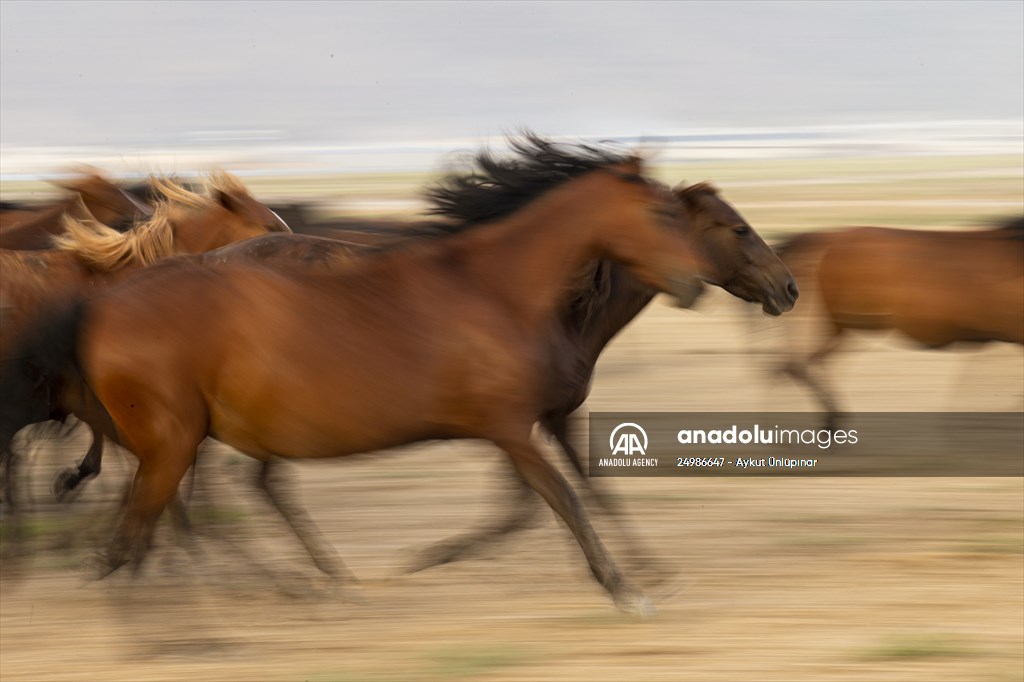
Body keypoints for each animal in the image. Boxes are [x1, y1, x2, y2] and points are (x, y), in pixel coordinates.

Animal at [48, 135, 798, 577]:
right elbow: (549, 497)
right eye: (735, 227)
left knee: (233, 480)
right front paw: (437, 555)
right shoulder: (520, 418)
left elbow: (576, 488)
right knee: (212, 479)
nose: (788, 287)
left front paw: (639, 568)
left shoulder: (537, 416)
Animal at [775, 217, 1024, 424]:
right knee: (798, 365)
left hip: (842, 325)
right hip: (846, 321)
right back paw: (832, 419)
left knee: (804, 362)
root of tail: (826, 240)